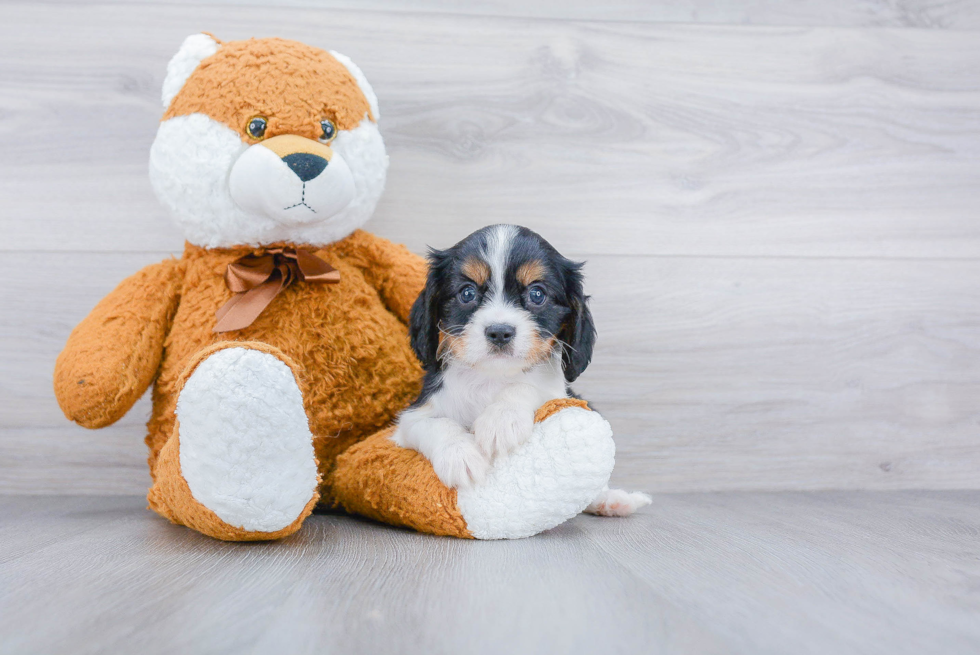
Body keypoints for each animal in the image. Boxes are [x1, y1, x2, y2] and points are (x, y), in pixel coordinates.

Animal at [390, 226, 652, 516]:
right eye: (467, 293)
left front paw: (501, 419)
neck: (491, 378)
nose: (499, 332)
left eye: (537, 294)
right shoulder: (410, 421)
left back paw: (612, 500)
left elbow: (526, 386)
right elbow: (435, 424)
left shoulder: (557, 393)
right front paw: (460, 455)